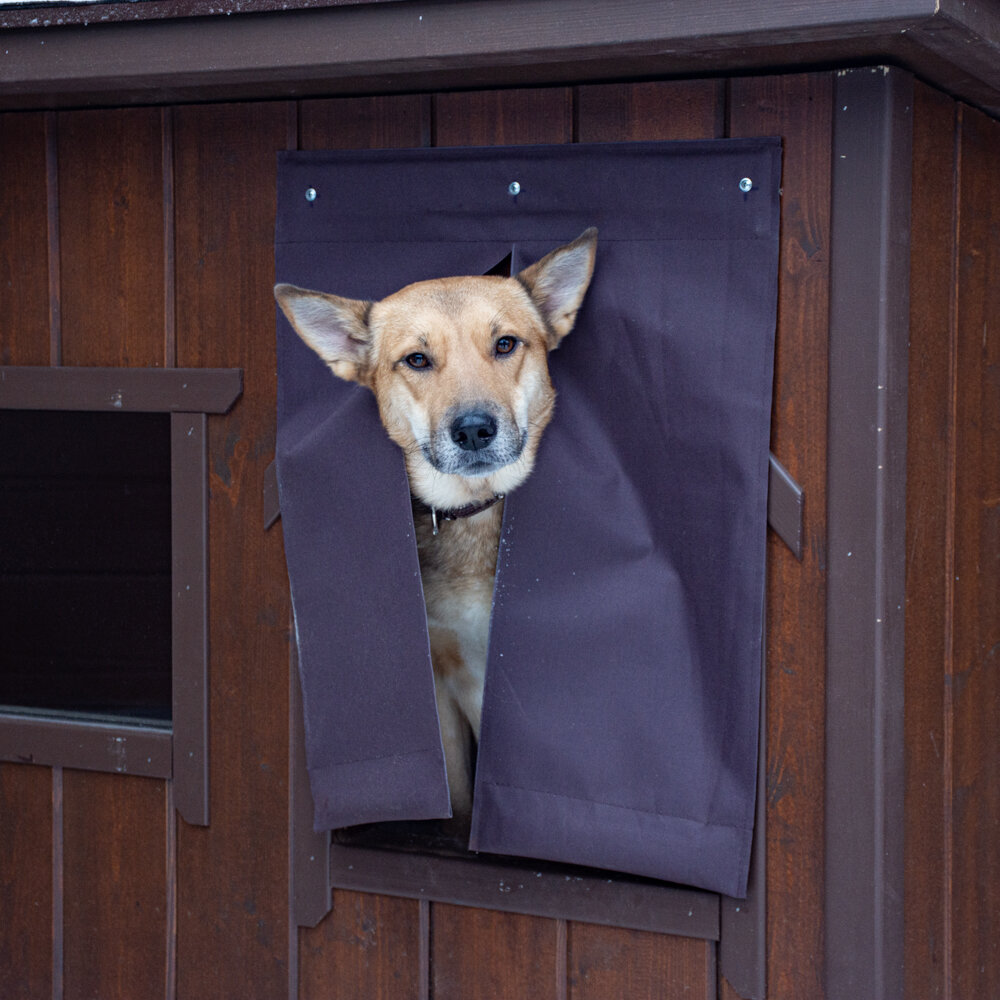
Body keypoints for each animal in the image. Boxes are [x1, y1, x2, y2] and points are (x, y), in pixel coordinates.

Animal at [274, 229, 596, 828]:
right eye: (417, 359)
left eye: (505, 345)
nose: (472, 430)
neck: (474, 509)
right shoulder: (441, 685)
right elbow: (458, 797)